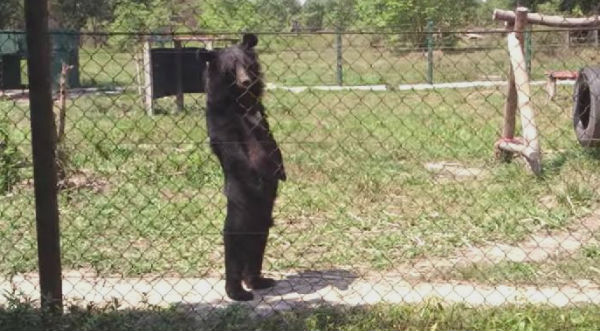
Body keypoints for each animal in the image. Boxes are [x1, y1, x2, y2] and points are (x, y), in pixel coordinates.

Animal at [205, 34, 288, 304]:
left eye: (247, 65)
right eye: (231, 69)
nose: (245, 81)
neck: (242, 100)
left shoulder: (261, 114)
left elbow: (272, 143)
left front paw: (283, 172)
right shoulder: (223, 119)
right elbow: (235, 151)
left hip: (263, 213)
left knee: (259, 237)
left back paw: (258, 281)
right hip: (242, 203)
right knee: (234, 236)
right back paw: (238, 292)